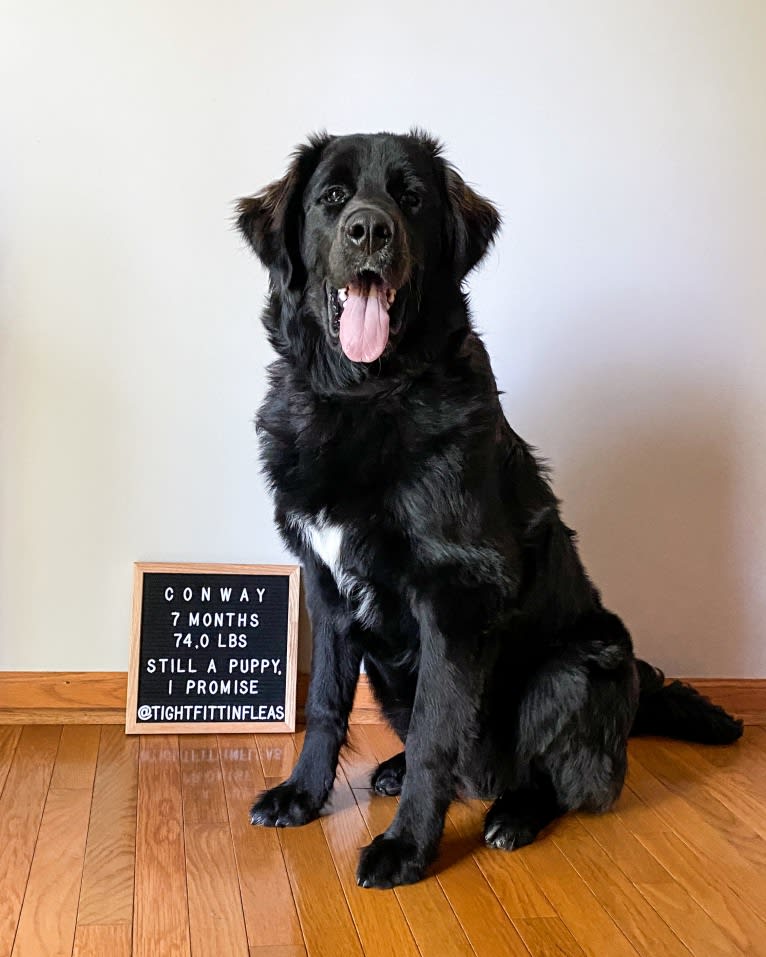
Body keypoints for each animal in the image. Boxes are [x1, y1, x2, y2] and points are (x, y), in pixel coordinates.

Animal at [238, 129, 744, 888]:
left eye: (411, 198)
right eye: (332, 198)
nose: (369, 230)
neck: (362, 396)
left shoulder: (455, 597)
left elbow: (436, 735)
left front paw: (406, 847)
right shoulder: (327, 593)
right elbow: (325, 703)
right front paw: (301, 794)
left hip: (573, 671)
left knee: (561, 780)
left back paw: (514, 814)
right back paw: (392, 771)